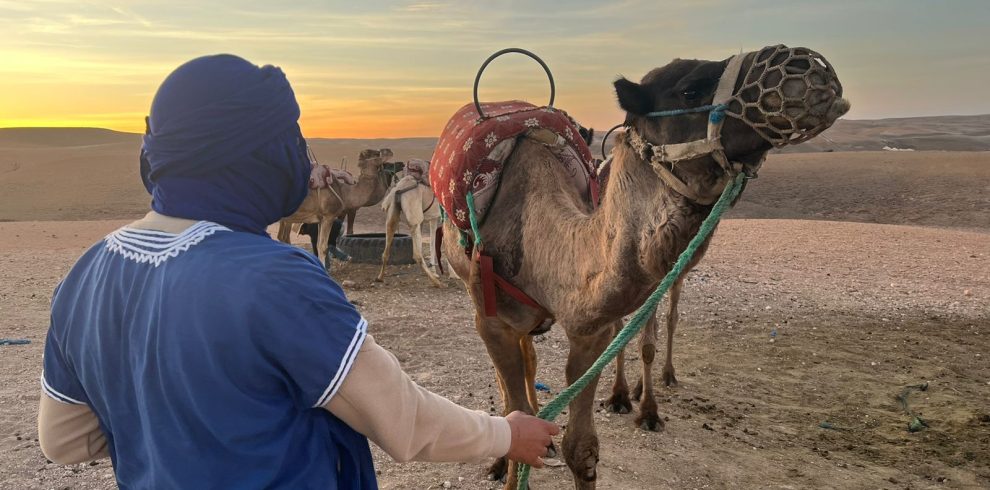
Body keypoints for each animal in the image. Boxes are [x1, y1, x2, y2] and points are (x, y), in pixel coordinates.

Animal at [375, 159, 445, 287]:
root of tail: (399, 189)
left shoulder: (431, 218)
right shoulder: (440, 217)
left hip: (392, 215)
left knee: (386, 250)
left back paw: (380, 277)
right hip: (414, 218)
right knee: (417, 254)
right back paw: (436, 282)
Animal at [439, 46, 848, 489]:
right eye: (689, 90)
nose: (806, 66)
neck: (543, 244)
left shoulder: (591, 330)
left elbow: (581, 447)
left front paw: (637, 413)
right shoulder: (492, 319)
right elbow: (517, 421)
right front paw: (511, 459)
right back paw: (502, 460)